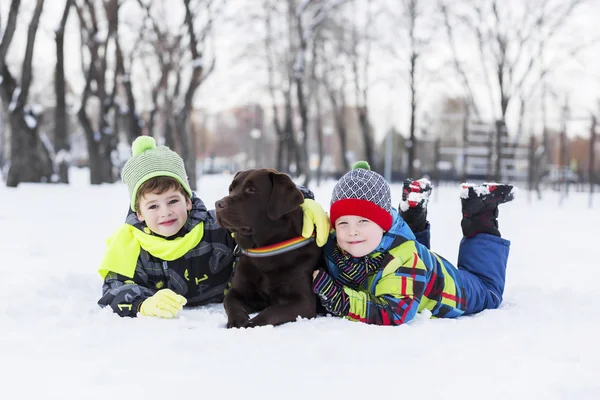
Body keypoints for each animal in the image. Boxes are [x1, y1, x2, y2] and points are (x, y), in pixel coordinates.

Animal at [217, 169, 324, 328]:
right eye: (231, 189)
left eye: (251, 189)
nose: (218, 204)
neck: (265, 253)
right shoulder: (237, 291)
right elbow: (230, 302)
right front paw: (237, 320)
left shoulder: (303, 301)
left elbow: (271, 311)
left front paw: (252, 323)